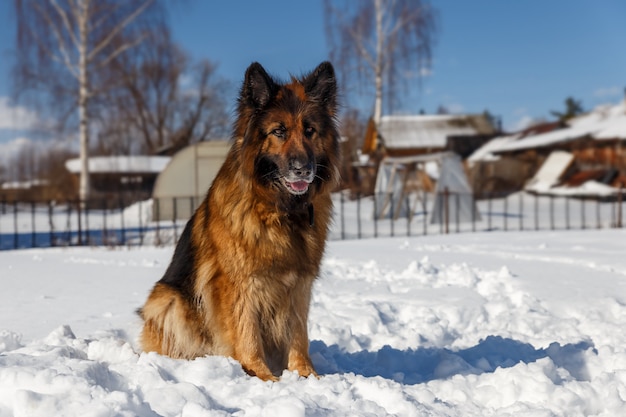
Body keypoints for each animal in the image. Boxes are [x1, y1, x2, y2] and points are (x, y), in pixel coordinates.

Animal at [138, 61, 338, 380]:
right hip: (167, 300)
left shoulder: (299, 285)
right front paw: (263, 376)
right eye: (278, 131)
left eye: (310, 130)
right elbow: (247, 333)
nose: (302, 169)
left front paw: (306, 375)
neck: (279, 211)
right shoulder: (238, 284)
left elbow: (298, 335)